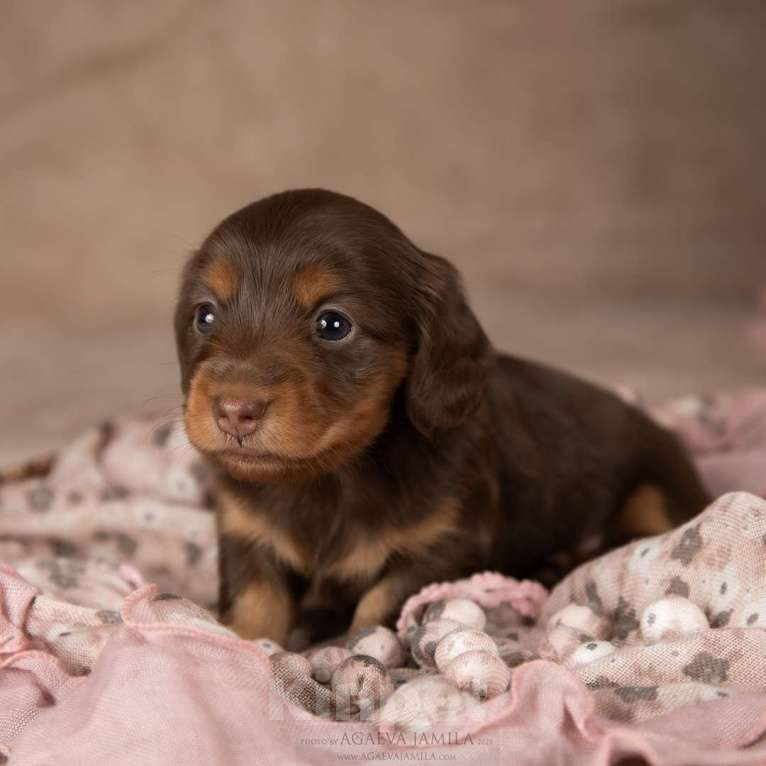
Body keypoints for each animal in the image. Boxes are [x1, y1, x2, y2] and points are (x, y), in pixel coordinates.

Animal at [177, 188, 712, 648]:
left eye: (333, 324)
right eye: (205, 315)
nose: (234, 411)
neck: (332, 475)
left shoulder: (445, 546)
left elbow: (380, 603)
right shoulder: (245, 534)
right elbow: (255, 603)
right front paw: (237, 646)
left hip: (656, 492)